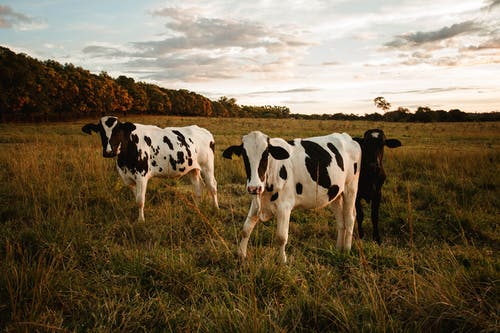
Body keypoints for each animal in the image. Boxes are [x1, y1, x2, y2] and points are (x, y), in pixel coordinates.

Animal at [82, 116, 219, 220]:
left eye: (118, 131)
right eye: (100, 131)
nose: (109, 152)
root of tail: (204, 130)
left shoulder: (141, 176)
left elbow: (140, 200)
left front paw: (141, 220)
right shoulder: (128, 179)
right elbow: (136, 198)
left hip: (207, 166)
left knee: (212, 186)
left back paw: (216, 208)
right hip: (193, 168)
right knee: (198, 187)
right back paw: (197, 209)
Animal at [225, 130, 362, 262]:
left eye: (266, 155)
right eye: (244, 155)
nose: (254, 187)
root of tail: (347, 137)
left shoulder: (284, 207)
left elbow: (281, 236)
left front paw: (282, 260)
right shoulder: (256, 203)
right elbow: (246, 229)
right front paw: (241, 255)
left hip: (351, 188)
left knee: (350, 218)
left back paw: (347, 250)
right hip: (335, 193)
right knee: (341, 221)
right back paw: (338, 248)